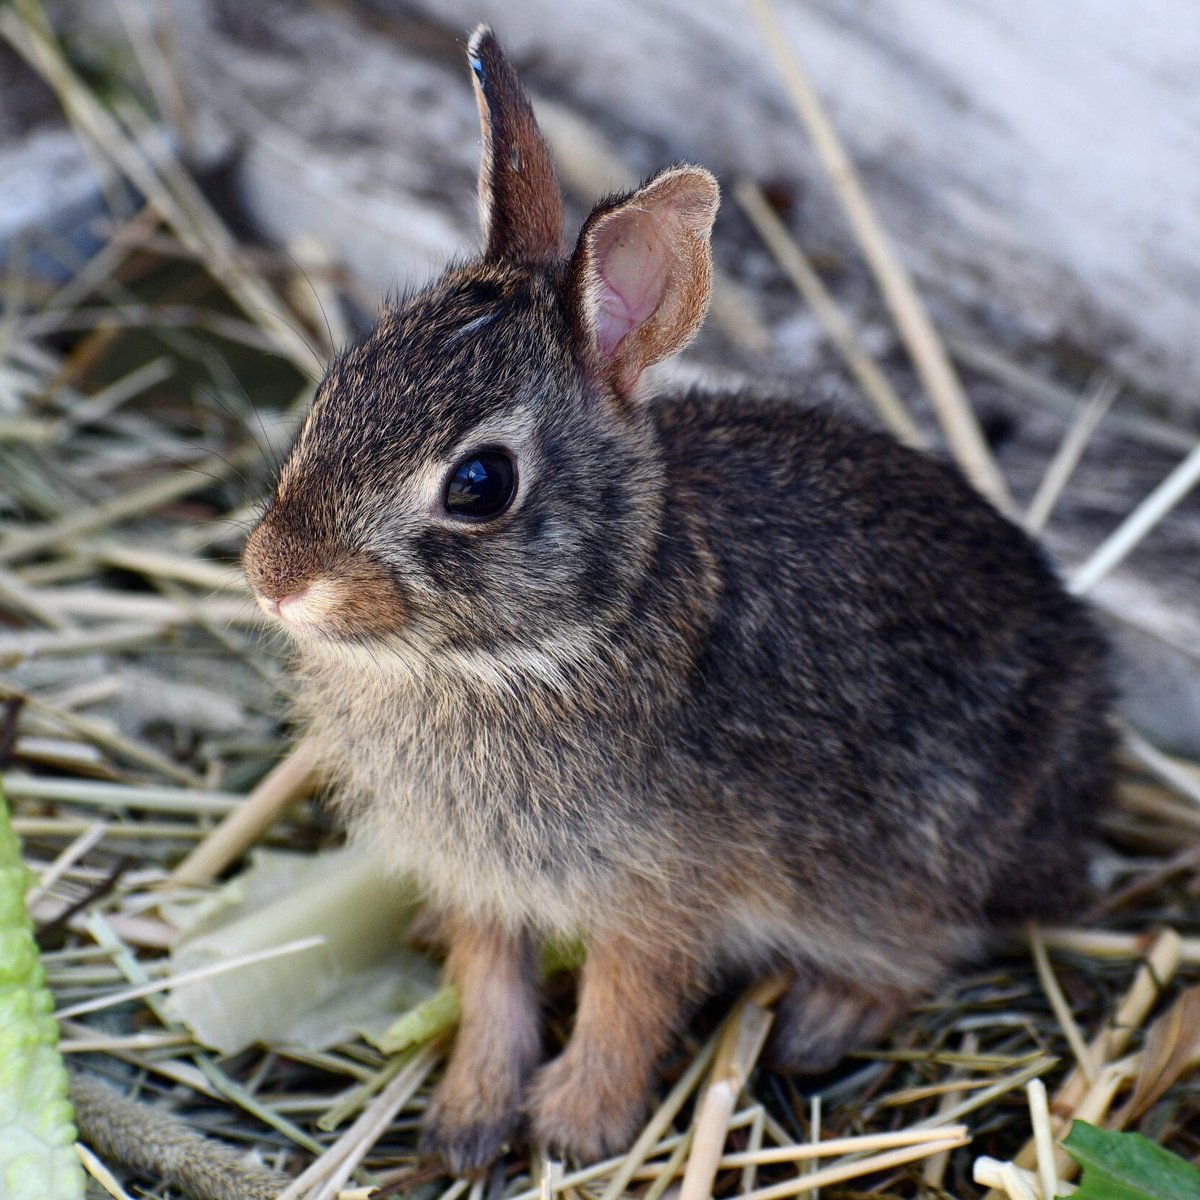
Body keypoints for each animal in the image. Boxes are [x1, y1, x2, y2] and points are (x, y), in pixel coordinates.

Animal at [241, 25, 1114, 1174]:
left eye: (479, 485)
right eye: (334, 389)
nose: (275, 577)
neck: (551, 643)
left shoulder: (658, 892)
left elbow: (628, 1000)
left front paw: (577, 1126)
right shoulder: (486, 886)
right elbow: (491, 990)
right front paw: (469, 1121)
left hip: (900, 859)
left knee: (925, 947)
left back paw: (822, 1019)